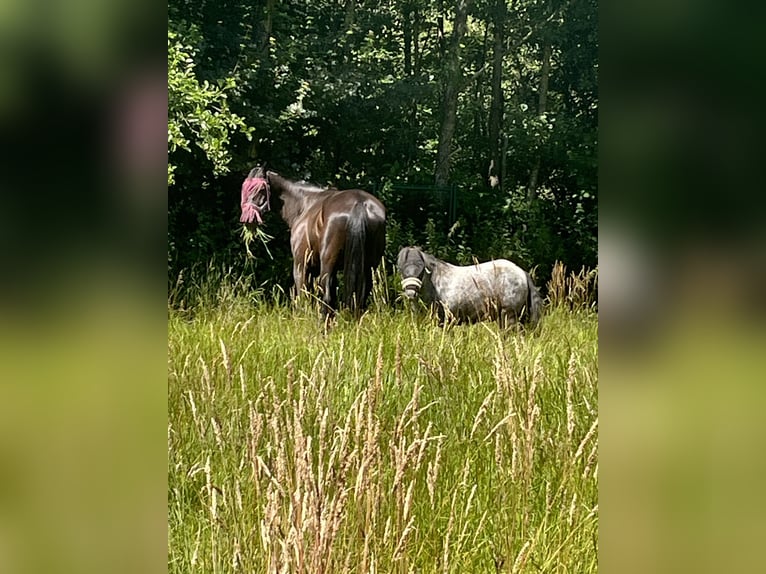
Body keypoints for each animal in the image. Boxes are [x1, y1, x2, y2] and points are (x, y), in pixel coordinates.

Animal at [240, 166, 388, 320]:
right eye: (244, 189)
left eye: (261, 189)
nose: (247, 219)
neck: (305, 204)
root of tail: (358, 203)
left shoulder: (301, 265)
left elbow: (303, 296)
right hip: (368, 267)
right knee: (360, 297)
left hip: (327, 264)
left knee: (327, 297)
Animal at [400, 246, 544, 328]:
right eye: (401, 267)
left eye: (421, 269)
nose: (411, 292)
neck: (436, 284)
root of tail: (522, 272)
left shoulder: (449, 319)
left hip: (509, 315)